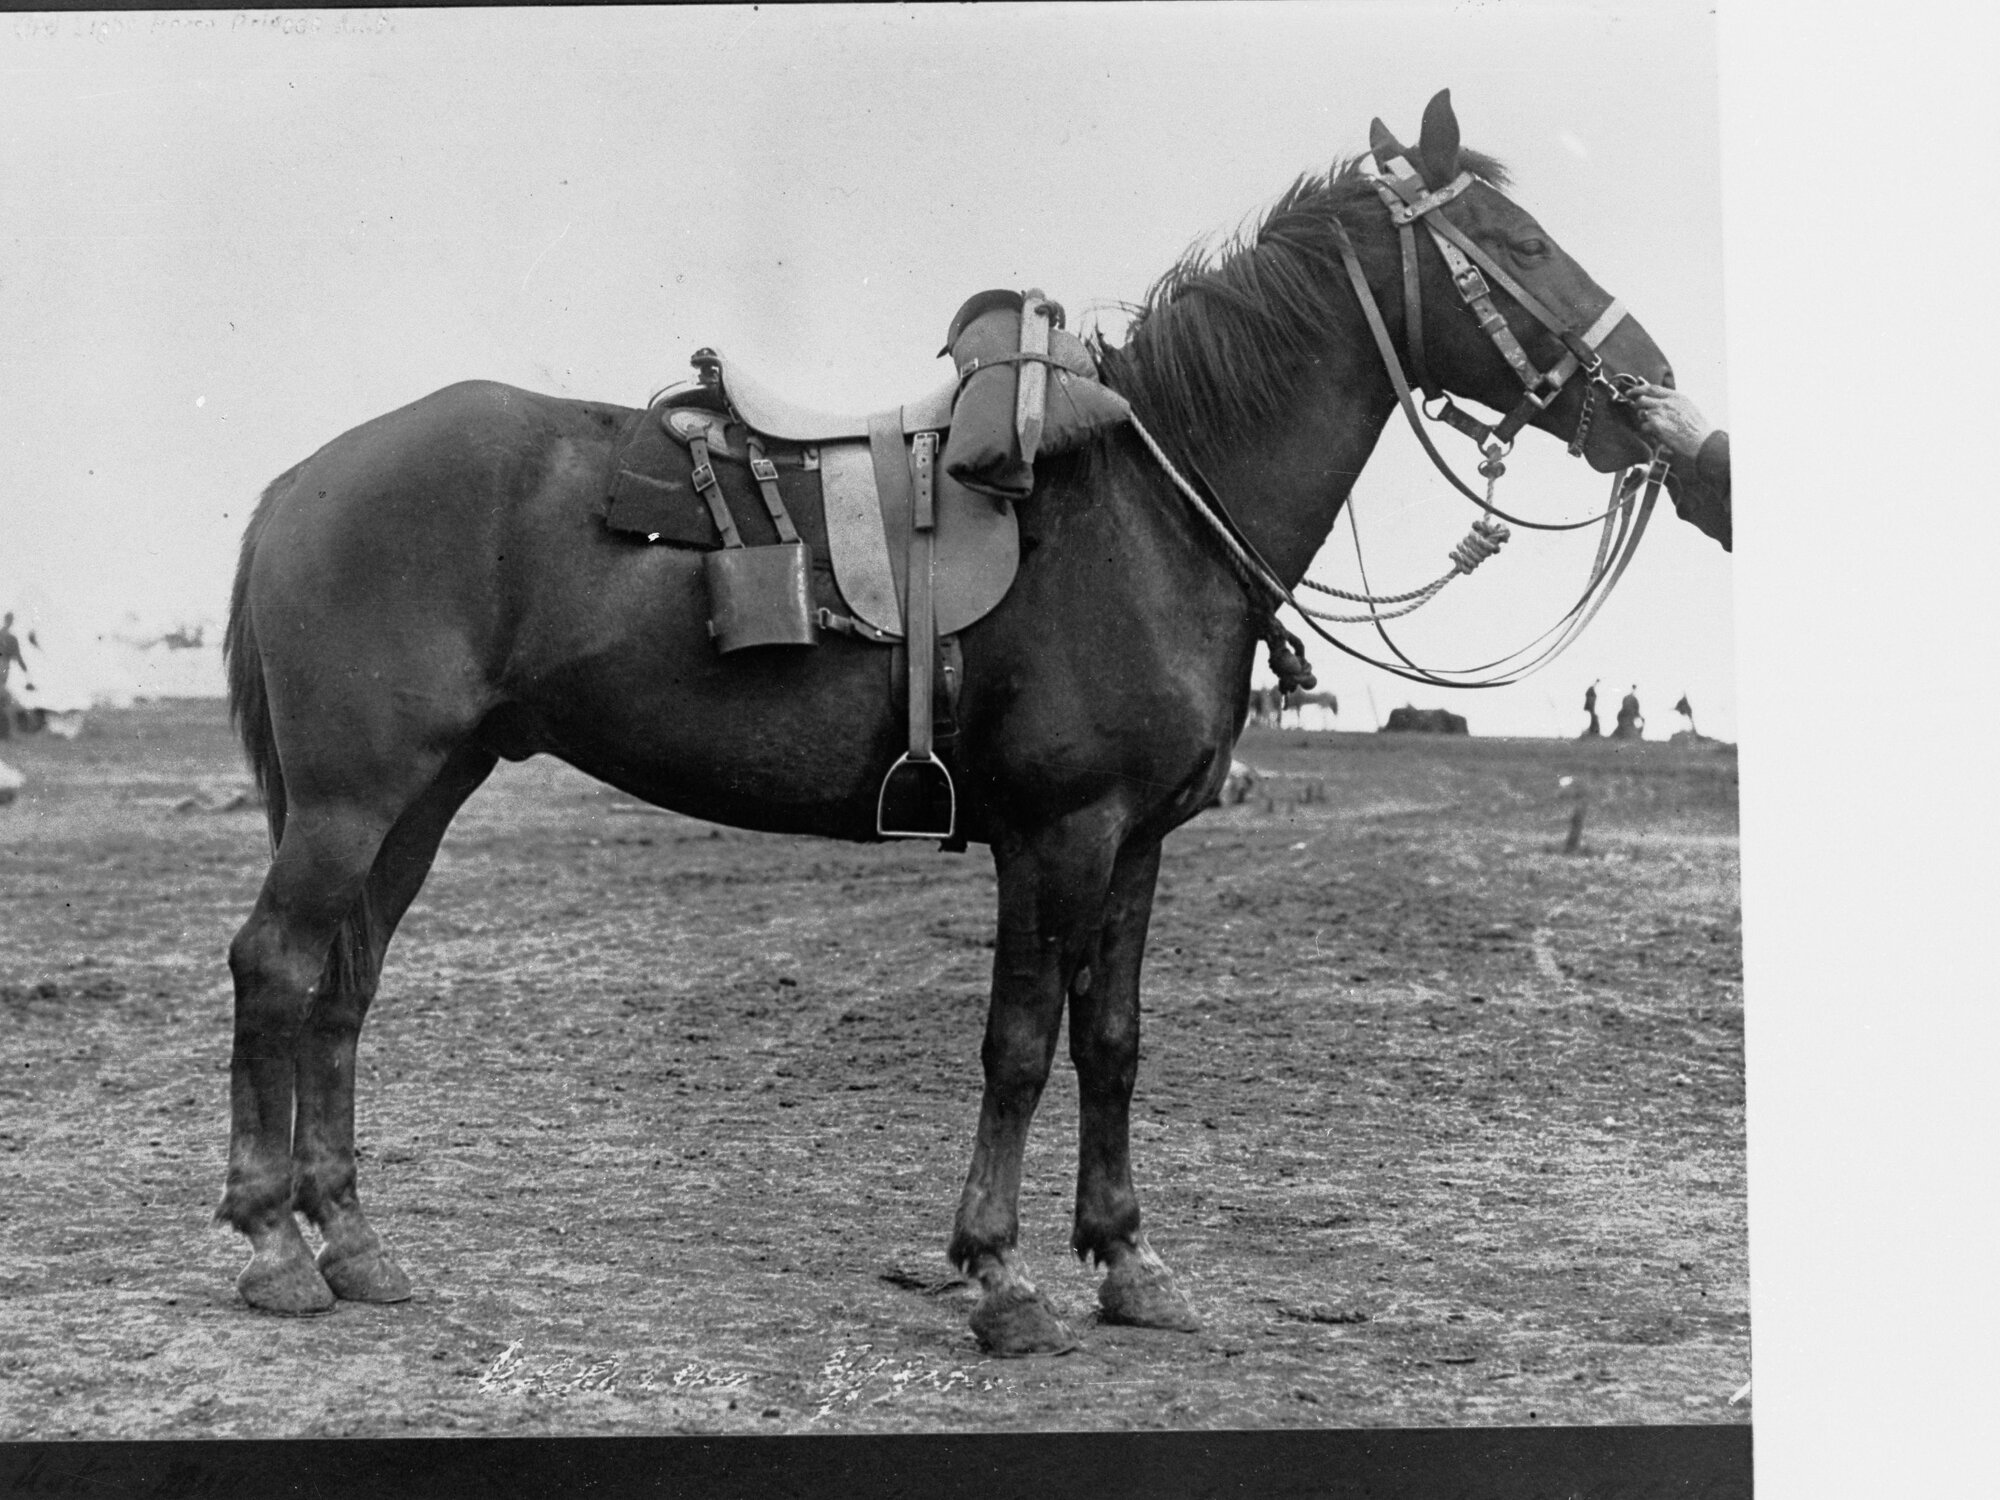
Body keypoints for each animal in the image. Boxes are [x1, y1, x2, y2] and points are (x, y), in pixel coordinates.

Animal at [218, 91, 1678, 1356]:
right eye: (1520, 245)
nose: (1652, 391)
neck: (1145, 511)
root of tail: (302, 479)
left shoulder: (1138, 845)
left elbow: (1111, 1042)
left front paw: (1129, 1261)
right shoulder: (1056, 834)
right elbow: (1020, 1047)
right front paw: (1003, 1277)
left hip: (426, 792)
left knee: (346, 982)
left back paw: (354, 1245)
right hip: (355, 798)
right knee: (277, 967)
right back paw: (273, 1246)